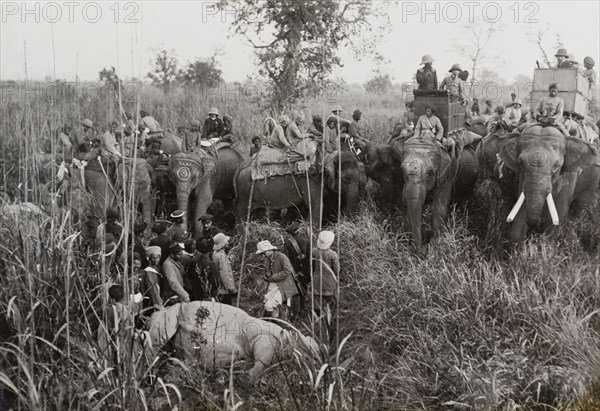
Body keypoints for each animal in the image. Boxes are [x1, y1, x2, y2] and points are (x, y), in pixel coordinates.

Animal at [234, 150, 366, 224]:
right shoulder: (310, 182)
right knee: (242, 214)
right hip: (244, 193)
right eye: (346, 179)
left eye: (361, 181)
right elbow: (317, 207)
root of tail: (240, 167)